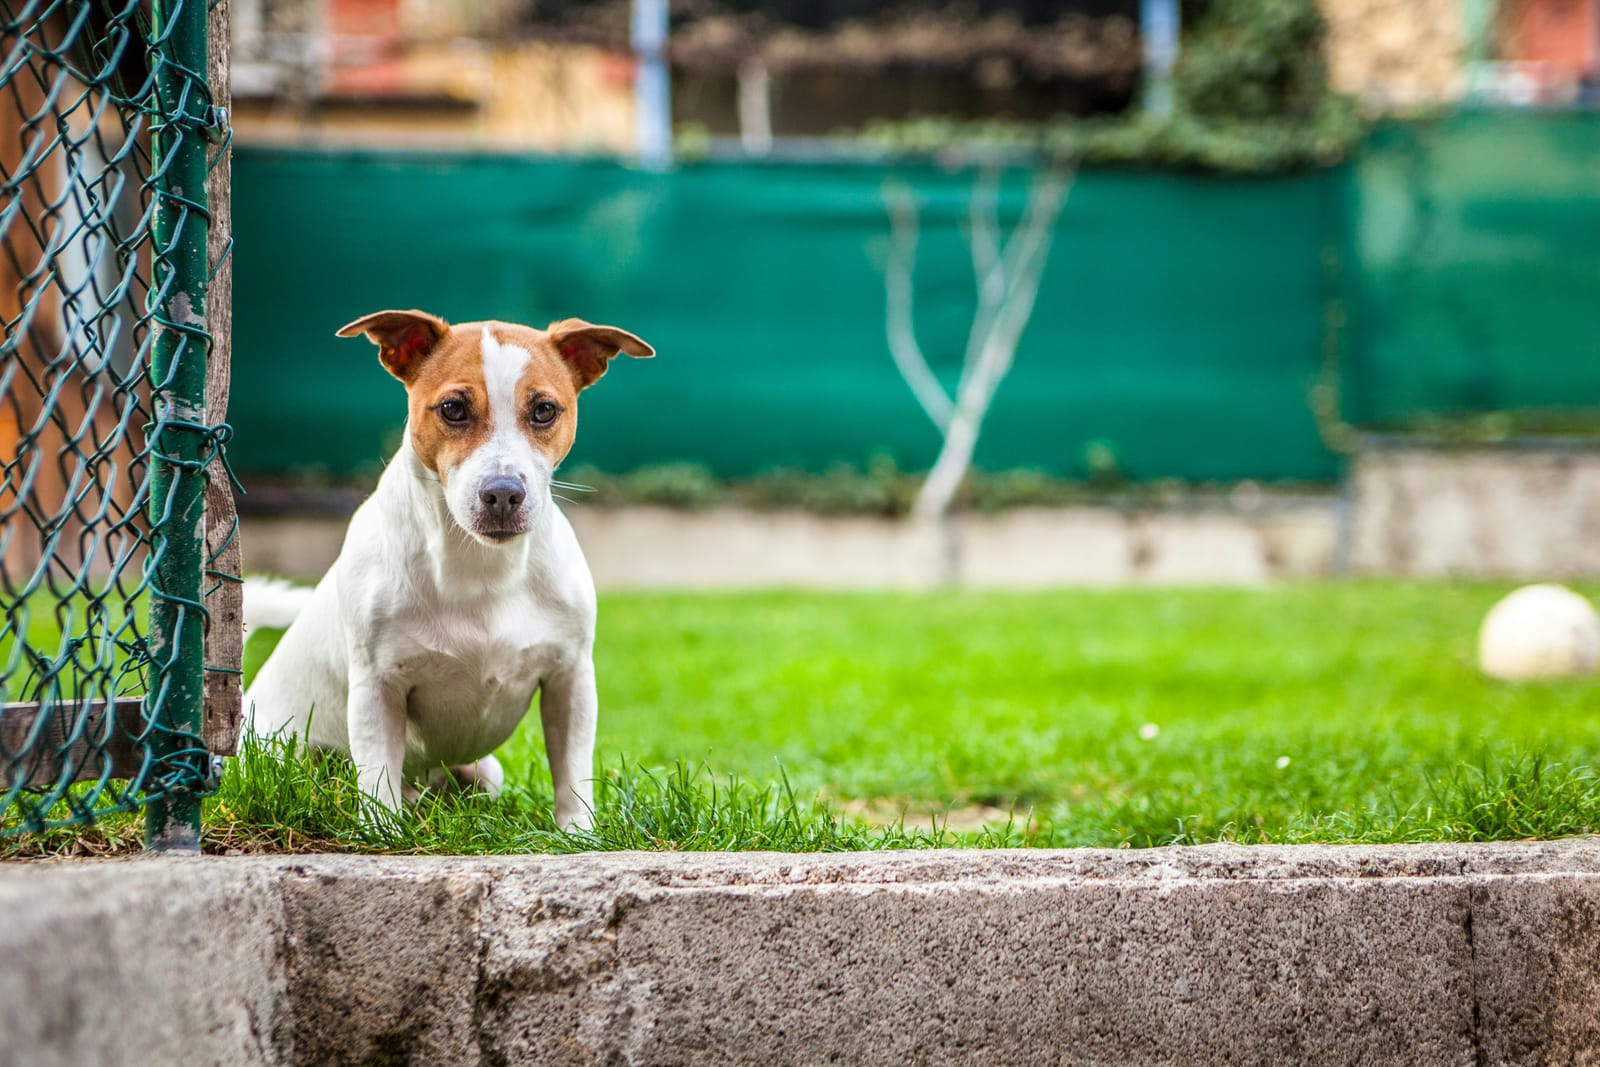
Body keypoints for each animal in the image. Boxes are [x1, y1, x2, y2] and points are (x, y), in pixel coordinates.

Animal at [241, 308, 649, 825]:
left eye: (544, 411)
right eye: (453, 408)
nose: (503, 493)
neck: (479, 564)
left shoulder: (570, 679)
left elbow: (572, 771)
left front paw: (577, 832)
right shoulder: (378, 687)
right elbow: (377, 771)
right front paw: (381, 830)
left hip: (485, 771)